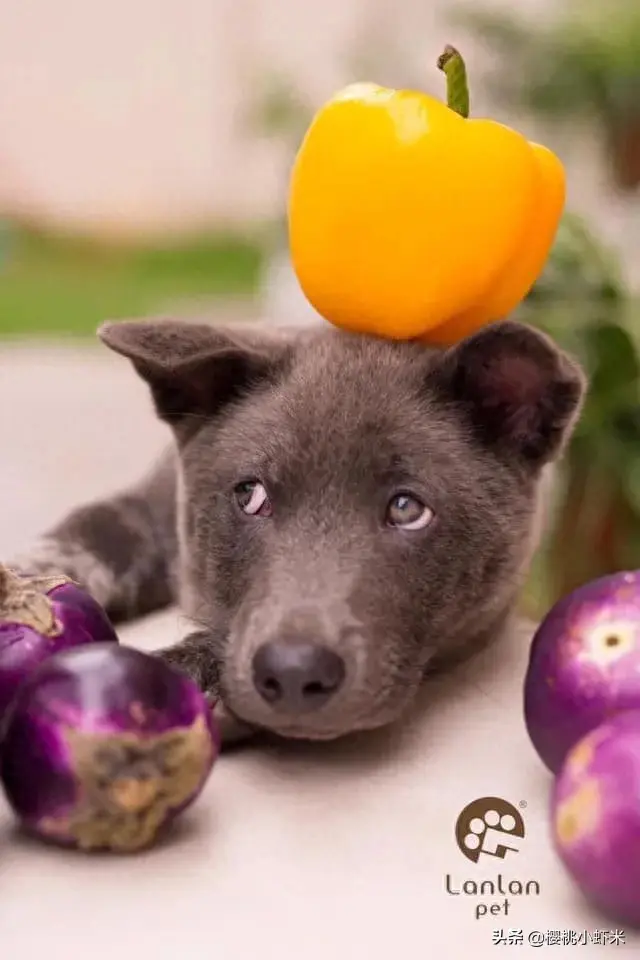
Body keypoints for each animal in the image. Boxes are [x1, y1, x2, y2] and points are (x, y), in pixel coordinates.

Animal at [10, 318, 588, 748]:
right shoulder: (150, 504)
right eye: (250, 495)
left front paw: (194, 673)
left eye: (407, 508)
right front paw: (23, 584)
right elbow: (93, 529)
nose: (293, 674)